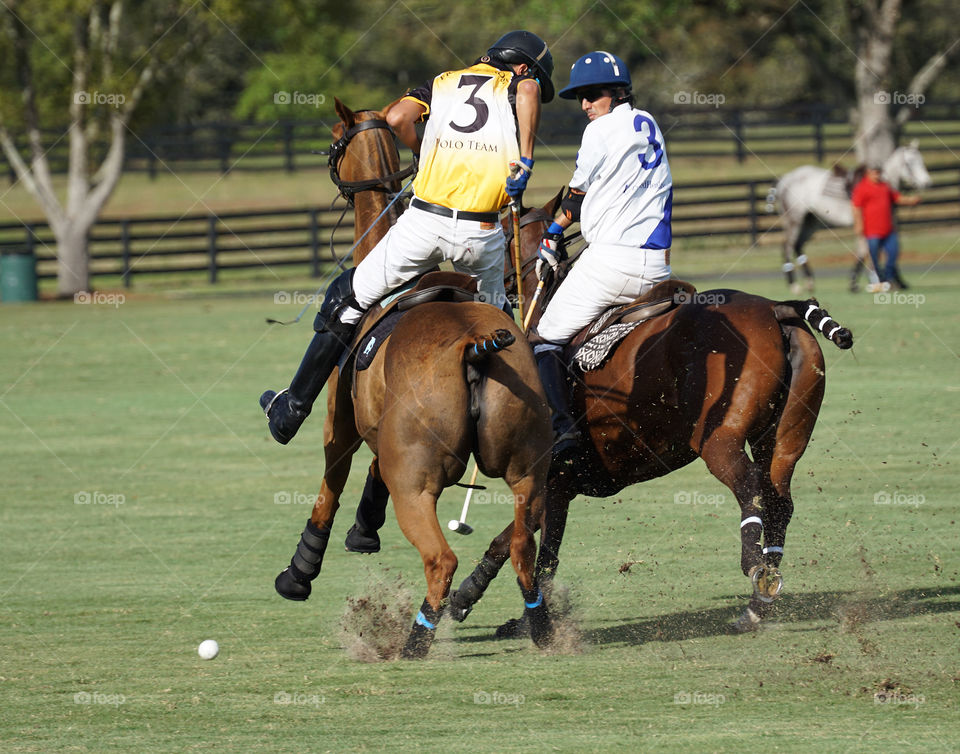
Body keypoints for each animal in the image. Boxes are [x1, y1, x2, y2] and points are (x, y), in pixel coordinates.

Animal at [270, 98, 556, 652]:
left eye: (336, 137)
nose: (327, 152)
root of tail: (475, 347)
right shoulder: (383, 428)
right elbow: (372, 472)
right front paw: (364, 529)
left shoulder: (341, 423)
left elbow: (331, 484)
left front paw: (300, 572)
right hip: (530, 471)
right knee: (520, 546)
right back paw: (541, 626)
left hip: (416, 486)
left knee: (441, 559)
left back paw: (415, 639)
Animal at [446, 204, 852, 628]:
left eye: (501, 234)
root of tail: (777, 308)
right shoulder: (565, 483)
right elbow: (522, 544)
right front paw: (478, 600)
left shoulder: (552, 478)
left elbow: (533, 548)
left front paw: (505, 610)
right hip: (784, 441)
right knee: (779, 501)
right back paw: (760, 602)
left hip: (718, 439)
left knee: (750, 487)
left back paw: (755, 570)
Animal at [768, 141, 932, 290]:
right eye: (910, 163)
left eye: (921, 160)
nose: (927, 183)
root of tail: (784, 179)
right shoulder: (866, 225)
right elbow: (868, 250)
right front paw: (869, 280)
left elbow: (872, 250)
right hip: (794, 220)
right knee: (787, 246)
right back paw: (793, 284)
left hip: (811, 221)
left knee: (798, 245)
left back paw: (809, 281)